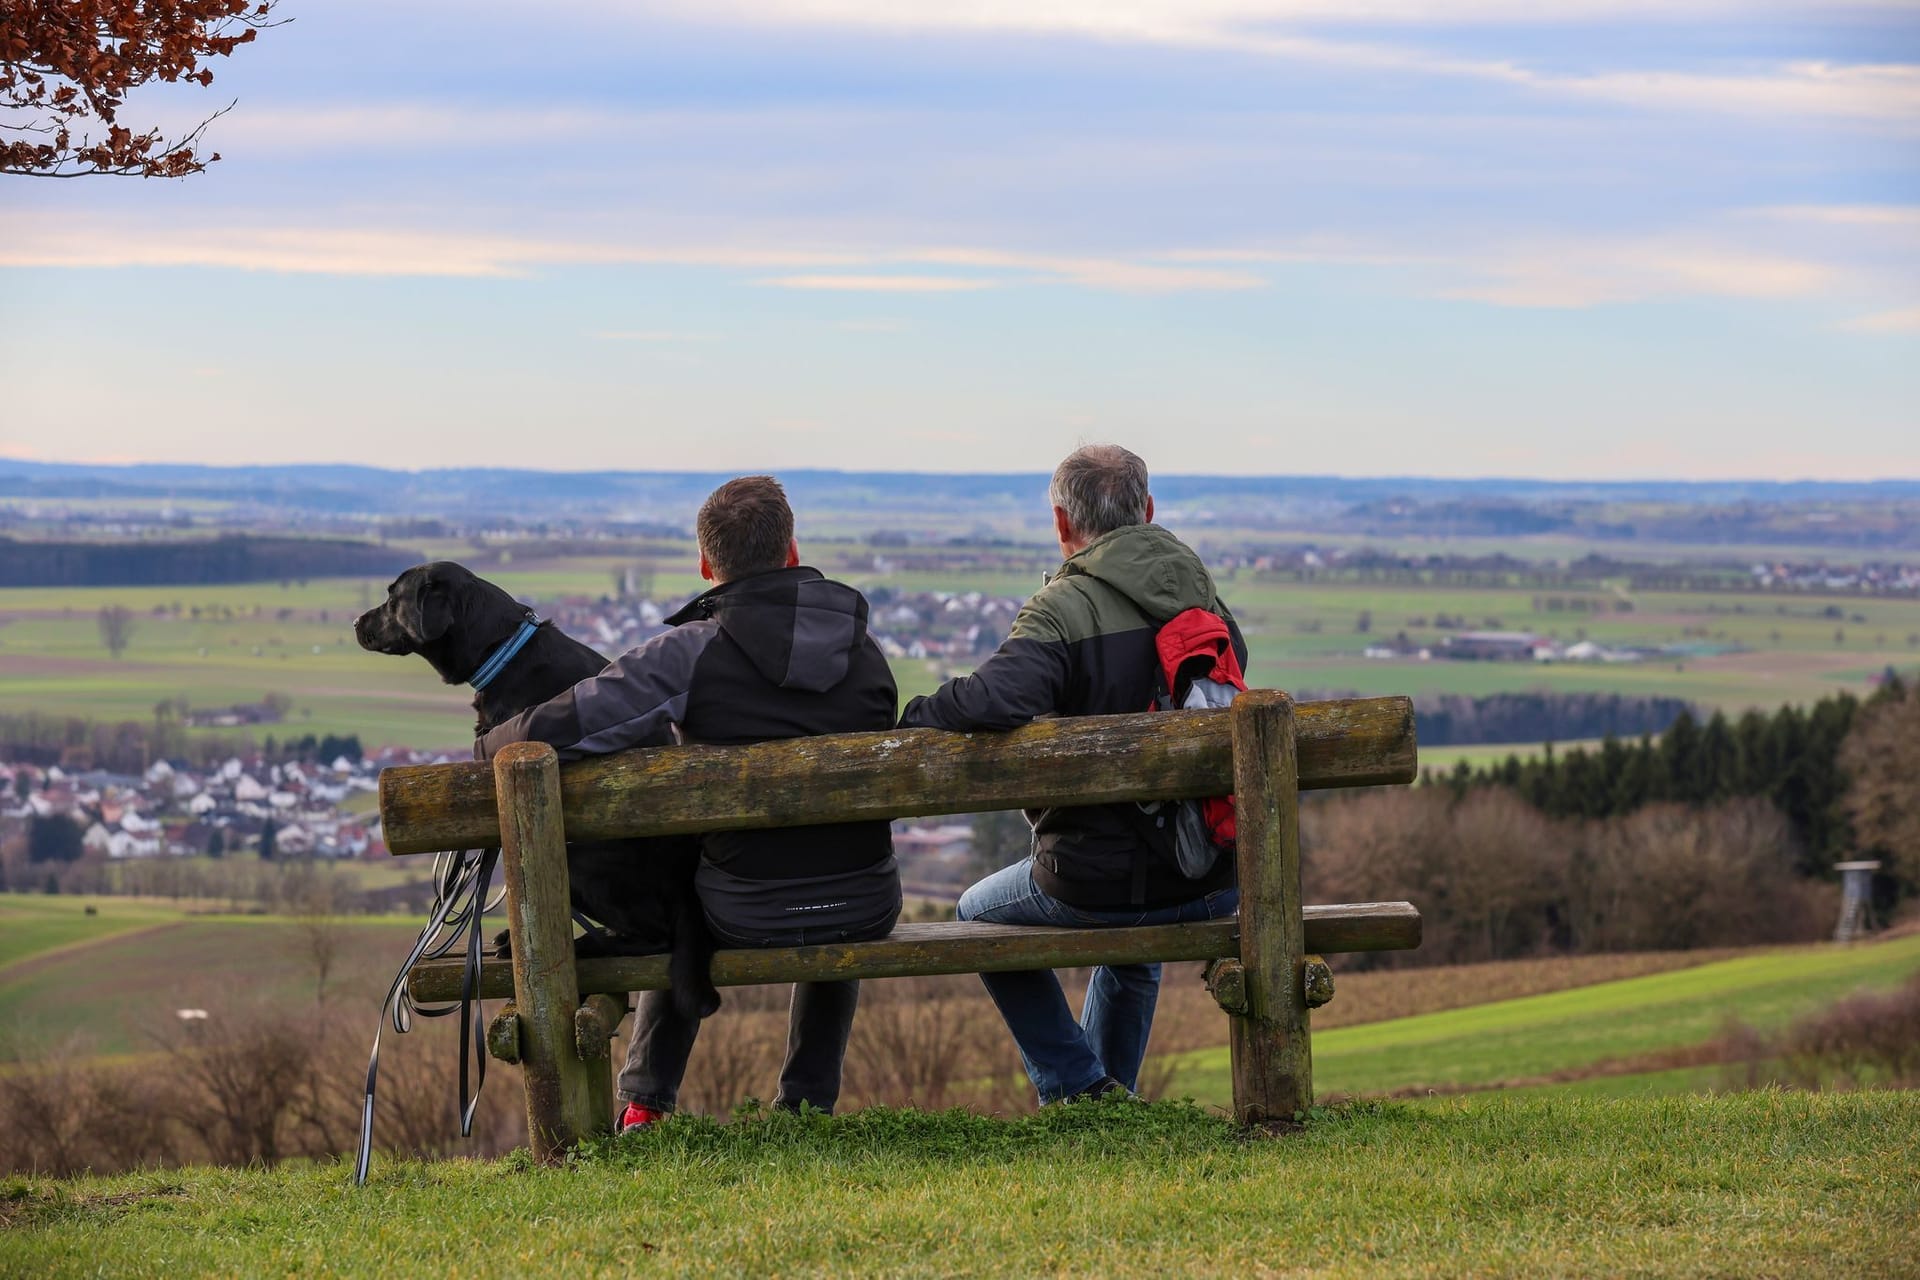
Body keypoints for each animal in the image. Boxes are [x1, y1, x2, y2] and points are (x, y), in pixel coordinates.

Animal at [359, 560, 721, 1020]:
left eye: (392, 598)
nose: (356, 623)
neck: (503, 651)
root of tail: (687, 889)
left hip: (580, 861)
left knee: (654, 937)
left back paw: (587, 945)